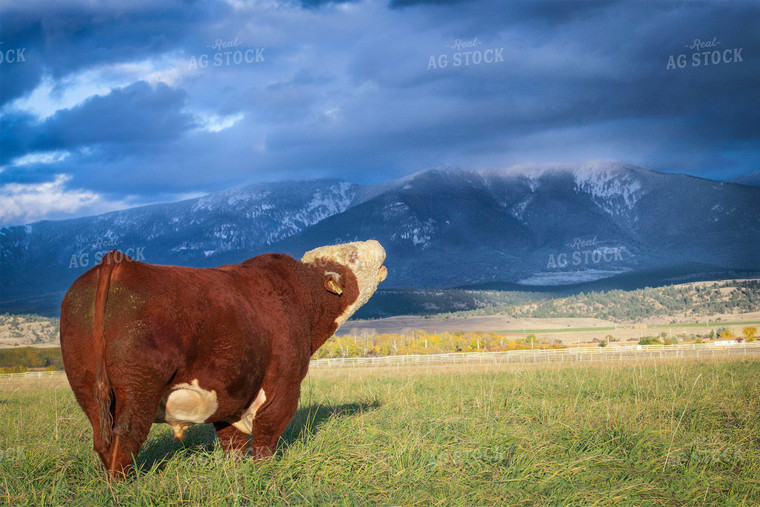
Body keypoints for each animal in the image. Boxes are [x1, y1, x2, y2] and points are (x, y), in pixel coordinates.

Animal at [60, 240, 386, 478]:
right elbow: (267, 434)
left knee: (102, 439)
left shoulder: (231, 392)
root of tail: (117, 264)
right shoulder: (284, 382)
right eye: (352, 257)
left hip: (86, 385)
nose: (377, 243)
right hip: (139, 386)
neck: (299, 296)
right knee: (126, 437)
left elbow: (232, 442)